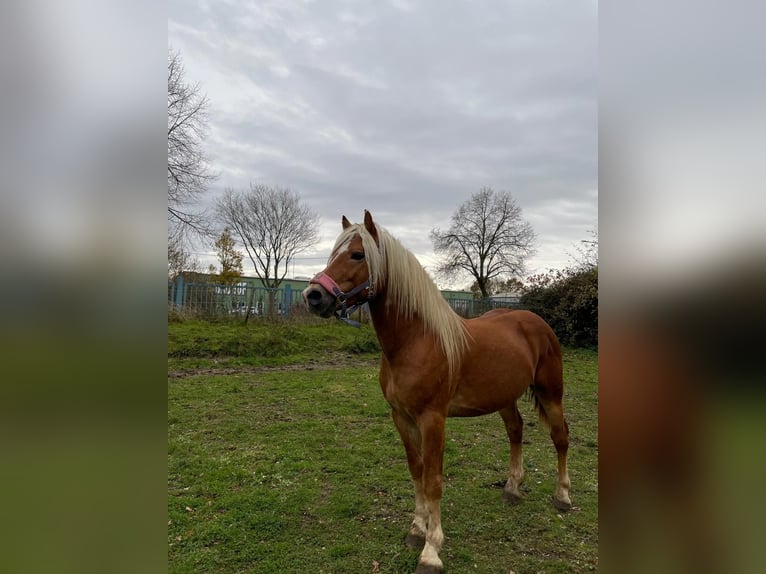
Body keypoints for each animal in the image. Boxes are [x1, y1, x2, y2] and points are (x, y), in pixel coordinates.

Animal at [304, 213, 572, 574]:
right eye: (334, 253)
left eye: (357, 255)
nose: (313, 295)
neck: (416, 341)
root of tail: (535, 321)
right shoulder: (402, 418)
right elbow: (416, 472)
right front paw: (417, 530)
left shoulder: (433, 419)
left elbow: (433, 480)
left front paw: (431, 550)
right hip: (504, 397)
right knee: (516, 430)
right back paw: (513, 488)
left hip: (551, 393)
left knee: (560, 438)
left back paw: (563, 497)